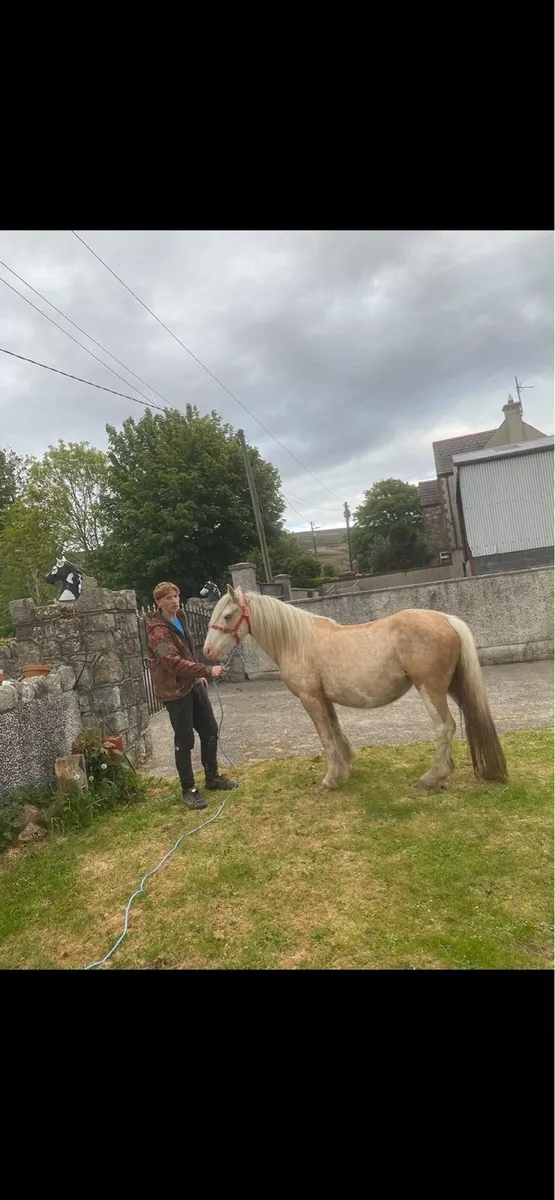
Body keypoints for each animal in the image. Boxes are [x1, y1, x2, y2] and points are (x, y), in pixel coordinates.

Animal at [202, 586, 508, 792]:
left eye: (227, 616)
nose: (207, 652)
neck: (297, 641)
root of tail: (446, 619)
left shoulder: (310, 698)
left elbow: (325, 737)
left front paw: (330, 780)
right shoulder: (324, 698)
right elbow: (336, 731)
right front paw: (346, 765)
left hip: (430, 689)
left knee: (445, 727)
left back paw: (431, 777)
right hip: (453, 687)